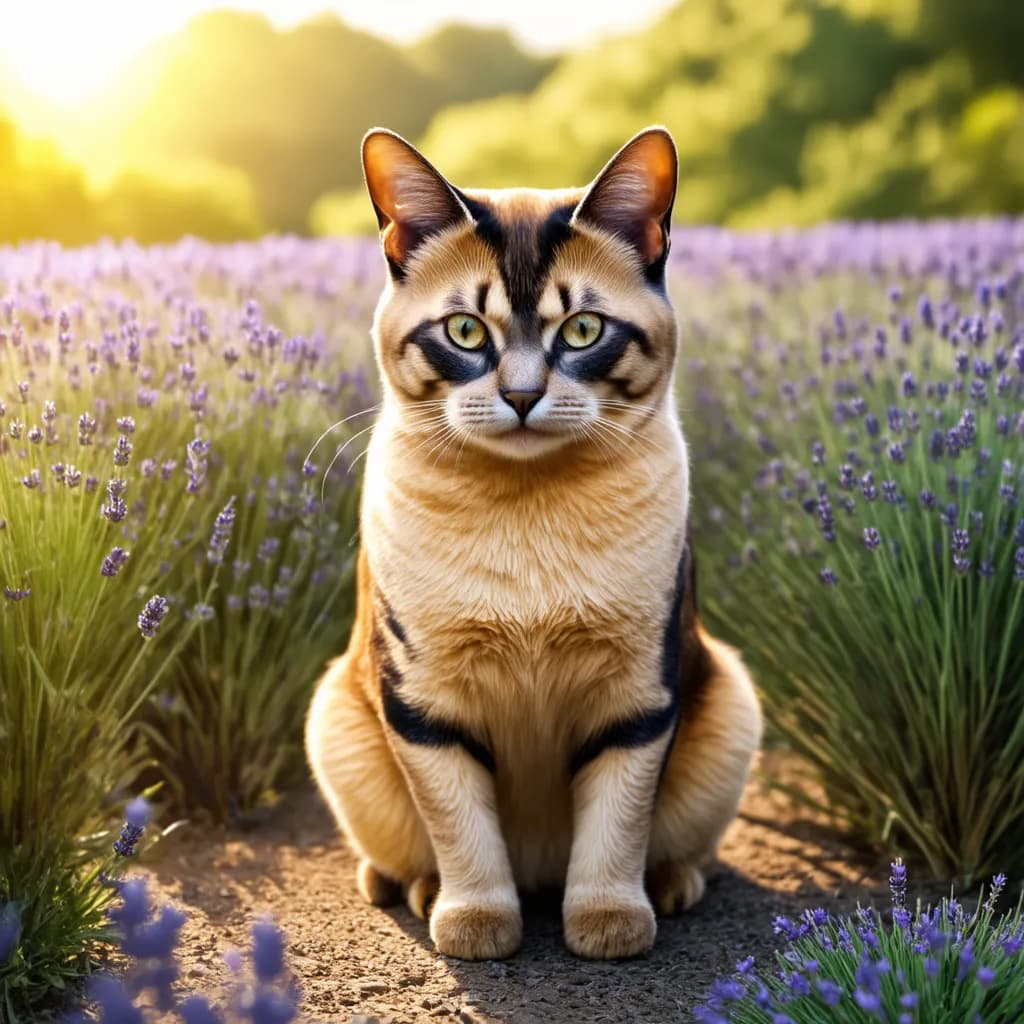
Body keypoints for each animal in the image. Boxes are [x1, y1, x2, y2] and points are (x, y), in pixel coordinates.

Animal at [303, 125, 761, 958]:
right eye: (464, 331)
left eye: (582, 330)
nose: (521, 395)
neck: (526, 515)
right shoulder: (425, 700)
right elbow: (461, 827)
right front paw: (477, 924)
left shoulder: (637, 697)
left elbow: (617, 823)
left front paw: (609, 924)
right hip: (336, 720)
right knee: (409, 852)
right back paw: (412, 889)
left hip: (731, 707)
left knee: (674, 844)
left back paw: (671, 885)